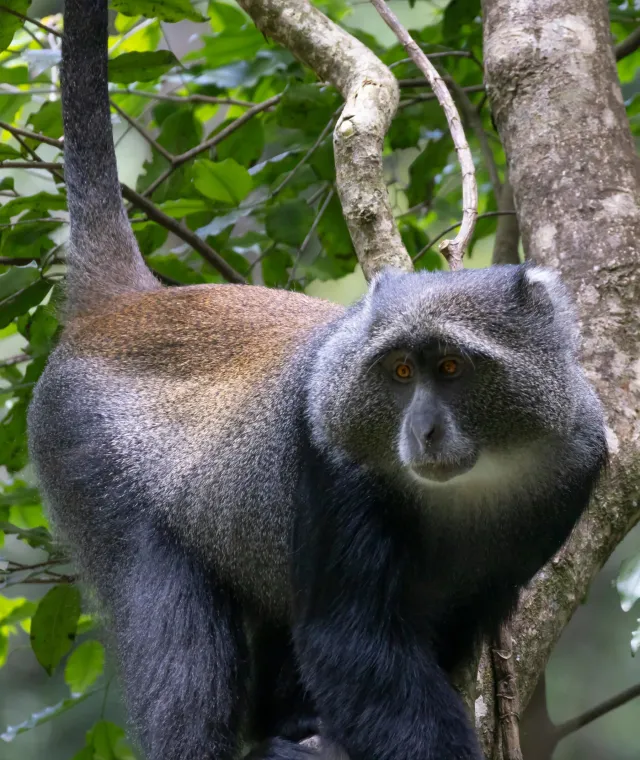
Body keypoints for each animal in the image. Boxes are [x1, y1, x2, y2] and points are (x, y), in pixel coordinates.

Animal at [26, 0, 607, 759]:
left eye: (450, 367)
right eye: (399, 370)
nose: (421, 432)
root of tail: (124, 303)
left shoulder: (574, 470)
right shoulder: (331, 463)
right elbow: (350, 646)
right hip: (88, 463)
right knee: (184, 655)